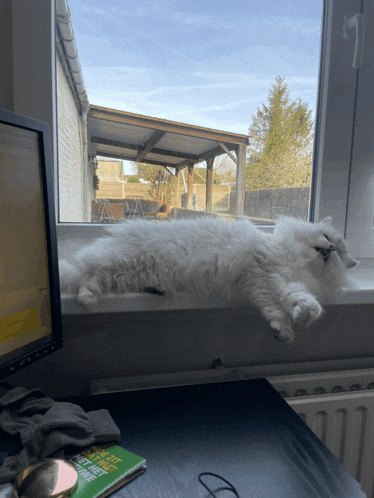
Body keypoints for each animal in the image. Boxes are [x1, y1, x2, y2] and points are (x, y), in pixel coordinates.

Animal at [58, 217, 356, 342]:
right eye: (327, 238)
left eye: (340, 255)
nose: (330, 249)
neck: (295, 260)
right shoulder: (268, 269)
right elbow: (292, 295)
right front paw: (306, 312)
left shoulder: (257, 283)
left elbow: (272, 308)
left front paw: (283, 332)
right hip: (125, 263)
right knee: (88, 275)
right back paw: (86, 300)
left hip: (130, 274)